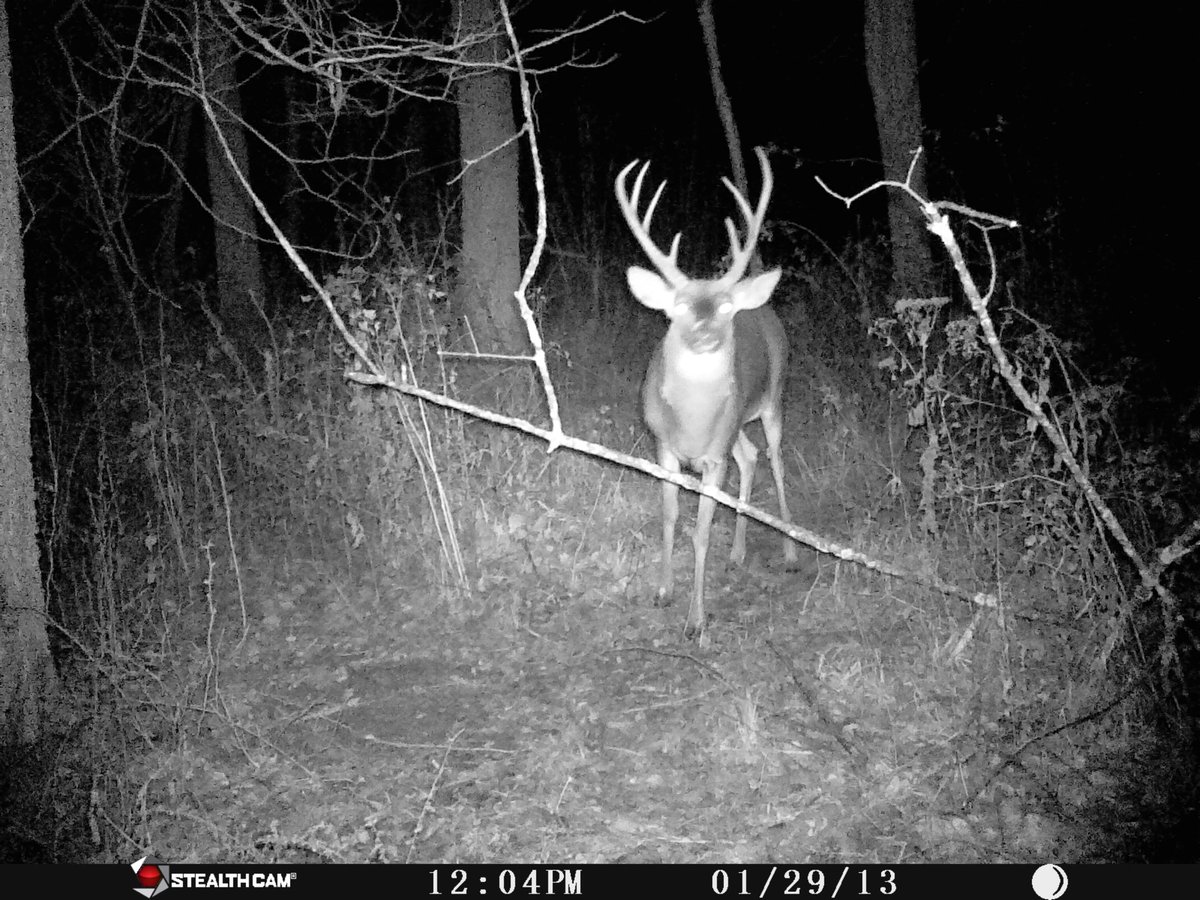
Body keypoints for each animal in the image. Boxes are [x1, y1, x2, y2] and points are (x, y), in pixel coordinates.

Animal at [615, 147, 798, 638]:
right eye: (677, 307)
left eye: (726, 307)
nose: (706, 337)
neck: (692, 421)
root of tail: (765, 309)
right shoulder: (664, 447)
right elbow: (670, 519)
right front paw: (663, 592)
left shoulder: (713, 460)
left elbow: (700, 531)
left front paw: (695, 621)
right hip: (735, 425)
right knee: (750, 457)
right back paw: (737, 553)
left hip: (774, 397)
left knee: (774, 459)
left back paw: (791, 550)